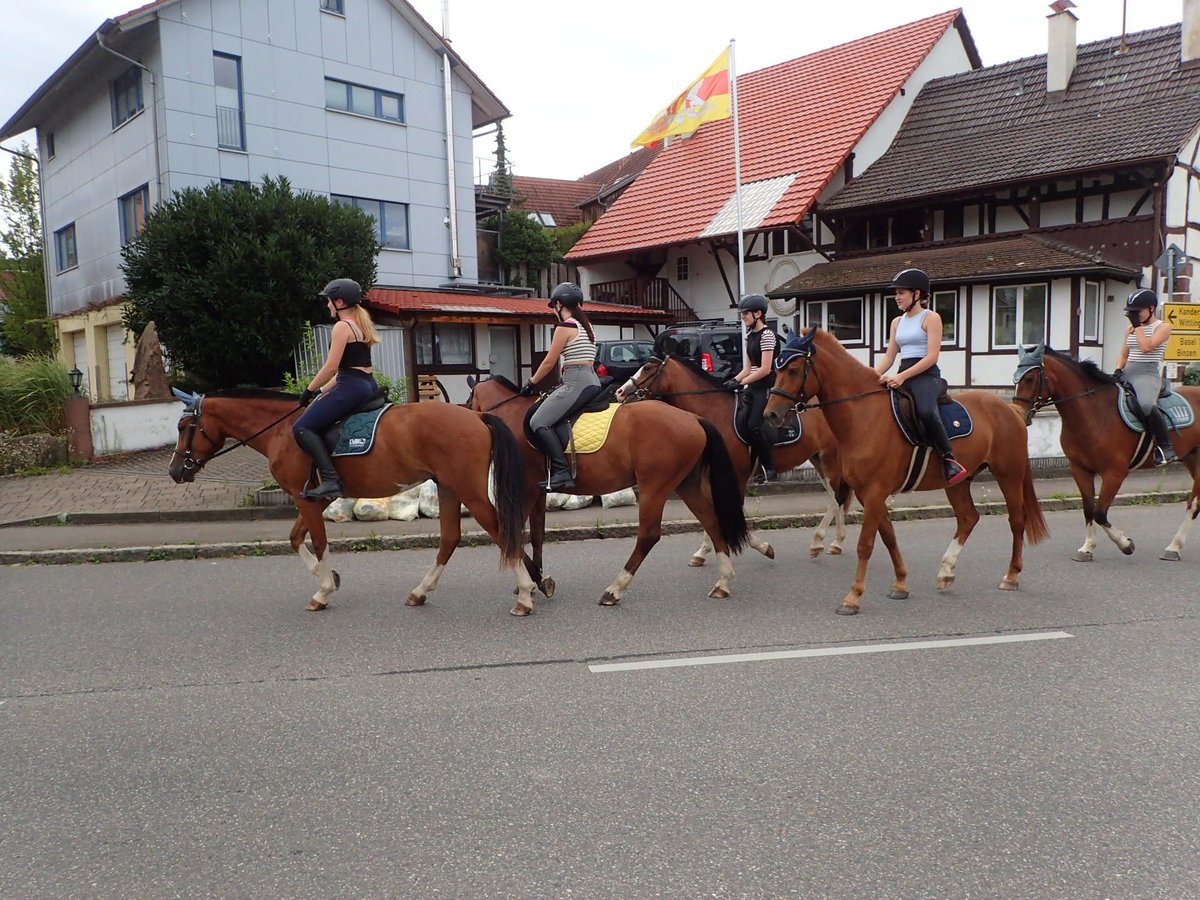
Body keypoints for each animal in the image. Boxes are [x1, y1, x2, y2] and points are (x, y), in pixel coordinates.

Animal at [165, 391, 535, 619]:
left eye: (184, 426)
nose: (174, 471)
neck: (283, 431)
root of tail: (478, 416)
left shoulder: (304, 498)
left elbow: (317, 540)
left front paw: (324, 590)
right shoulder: (315, 498)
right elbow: (296, 538)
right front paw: (327, 576)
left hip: (467, 491)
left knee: (501, 531)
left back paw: (525, 594)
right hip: (448, 488)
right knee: (450, 538)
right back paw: (421, 591)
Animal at [463, 374, 744, 614]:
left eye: (469, 399)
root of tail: (693, 418)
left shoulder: (528, 490)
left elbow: (514, 535)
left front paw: (534, 584)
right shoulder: (539, 492)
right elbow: (537, 536)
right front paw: (535, 580)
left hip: (654, 487)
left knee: (648, 536)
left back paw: (614, 590)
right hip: (687, 484)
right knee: (712, 522)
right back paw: (722, 582)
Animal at [614, 355, 859, 561]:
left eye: (647, 368)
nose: (620, 392)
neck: (714, 413)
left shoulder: (736, 477)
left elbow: (730, 512)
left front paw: (760, 547)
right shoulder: (713, 477)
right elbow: (714, 513)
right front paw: (704, 551)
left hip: (829, 459)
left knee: (837, 498)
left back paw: (821, 542)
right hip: (819, 460)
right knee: (836, 498)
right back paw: (835, 542)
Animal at [763, 328, 1046, 619]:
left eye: (794, 369)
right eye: (777, 368)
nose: (770, 414)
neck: (863, 415)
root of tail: (1011, 410)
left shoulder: (875, 492)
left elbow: (866, 543)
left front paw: (853, 597)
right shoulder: (869, 494)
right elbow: (888, 536)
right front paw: (900, 582)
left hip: (1008, 475)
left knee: (1016, 520)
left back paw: (1011, 576)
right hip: (957, 483)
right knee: (968, 518)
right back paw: (946, 571)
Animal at [1012, 348, 1200, 564]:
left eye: (1030, 378)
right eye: (1015, 378)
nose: (1019, 414)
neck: (1094, 413)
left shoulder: (1114, 473)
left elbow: (1100, 512)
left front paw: (1125, 544)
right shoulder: (1080, 470)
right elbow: (1089, 509)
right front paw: (1087, 548)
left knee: (1193, 504)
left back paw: (1174, 547)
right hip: (1191, 458)